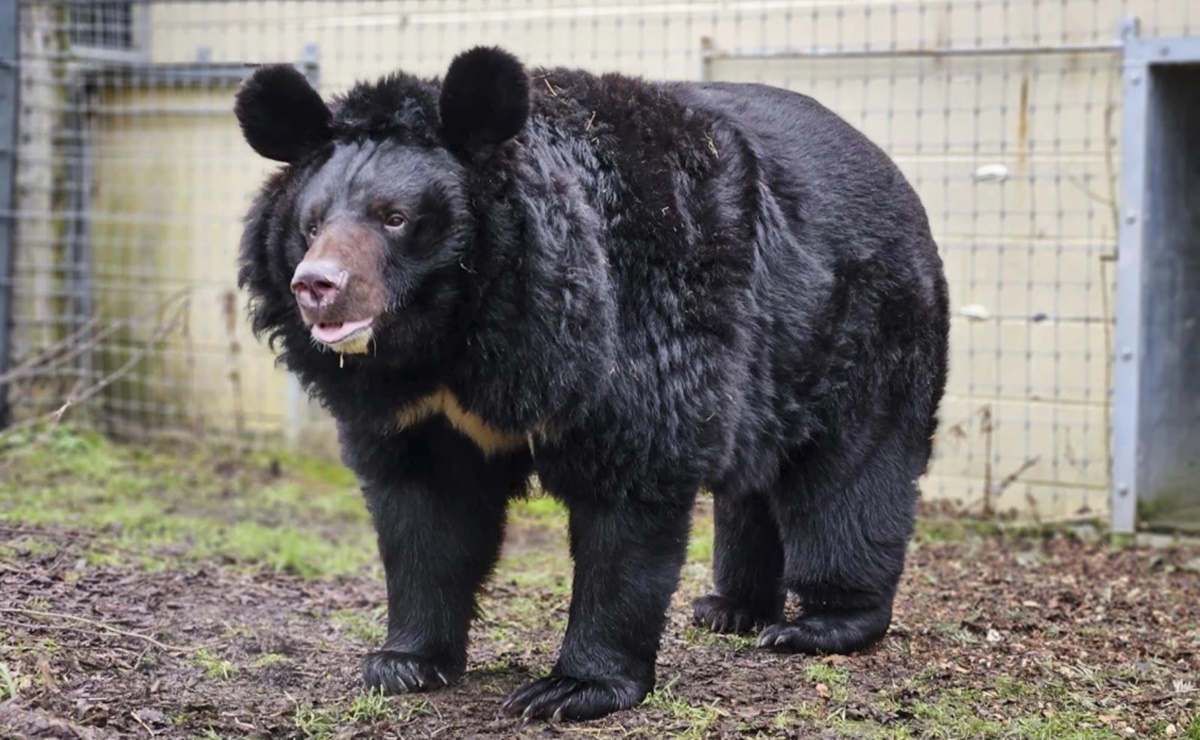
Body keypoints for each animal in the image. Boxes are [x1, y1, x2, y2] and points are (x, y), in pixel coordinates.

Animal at [231, 43, 945, 719]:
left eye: (395, 218)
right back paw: (731, 609)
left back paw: (821, 624)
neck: (458, 338)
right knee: (755, 482)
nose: (317, 286)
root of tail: (894, 172)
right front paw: (403, 663)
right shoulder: (415, 410)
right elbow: (424, 514)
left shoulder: (634, 335)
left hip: (865, 329)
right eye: (311, 224)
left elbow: (629, 502)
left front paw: (572, 689)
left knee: (848, 477)